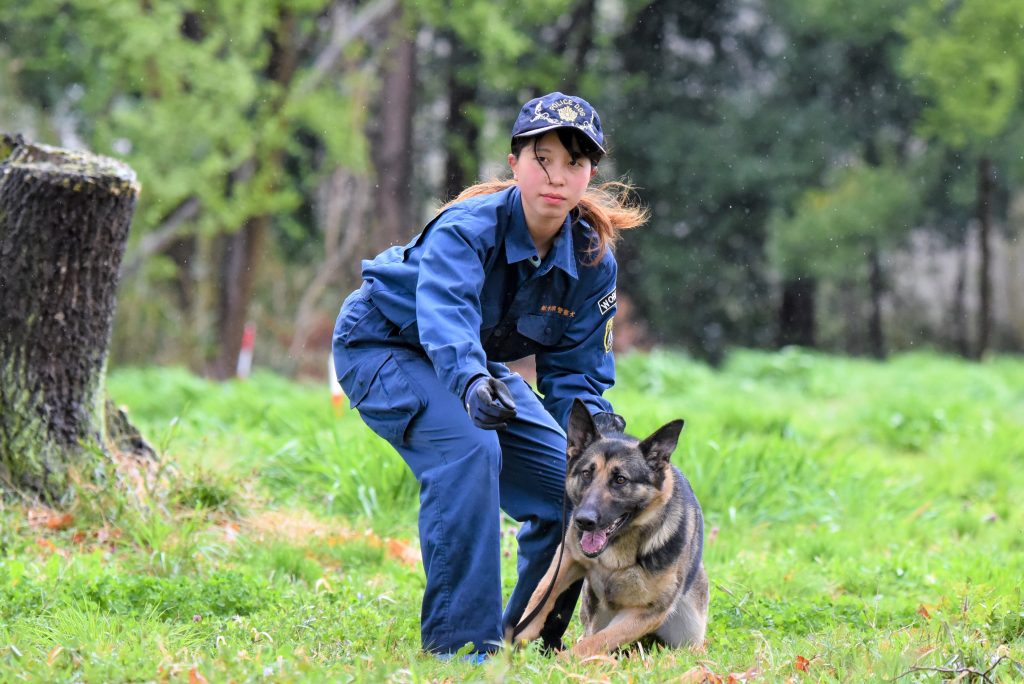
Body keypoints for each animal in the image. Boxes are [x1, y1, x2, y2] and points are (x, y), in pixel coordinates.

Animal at [509, 401, 708, 655]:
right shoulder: (568, 557)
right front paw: (512, 647)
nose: (583, 521)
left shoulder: (647, 613)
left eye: (620, 480)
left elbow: (596, 642)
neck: (618, 550)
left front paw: (562, 662)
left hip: (688, 632)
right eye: (586, 473)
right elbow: (541, 593)